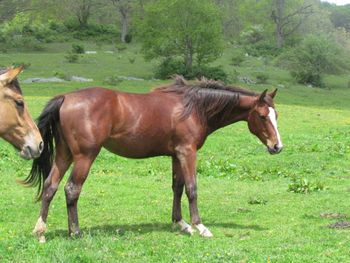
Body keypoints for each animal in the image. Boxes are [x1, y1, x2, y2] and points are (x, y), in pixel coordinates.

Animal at [27, 76, 284, 243]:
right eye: (262, 116)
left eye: (276, 115)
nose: (277, 146)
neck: (194, 108)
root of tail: (65, 97)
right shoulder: (188, 152)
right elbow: (192, 188)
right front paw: (200, 226)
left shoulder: (176, 154)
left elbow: (177, 187)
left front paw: (181, 224)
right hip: (84, 156)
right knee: (71, 189)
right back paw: (76, 233)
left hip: (64, 155)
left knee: (50, 187)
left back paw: (40, 232)